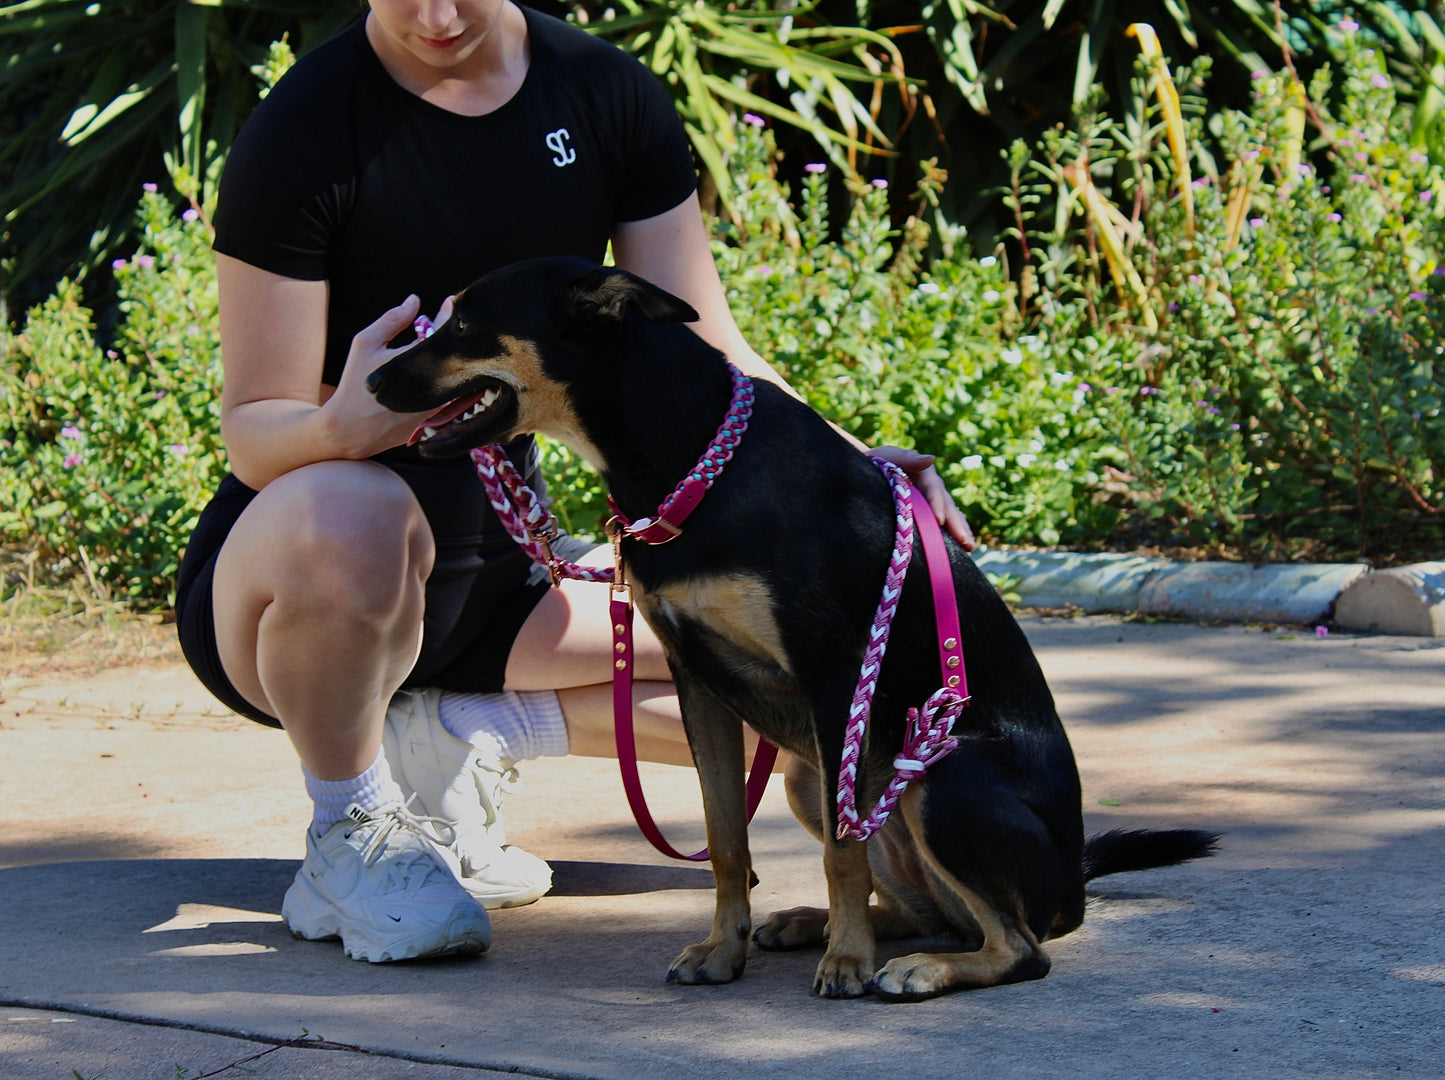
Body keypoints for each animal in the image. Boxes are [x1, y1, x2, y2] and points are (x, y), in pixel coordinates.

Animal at [367, 257, 1213, 1000]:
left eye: (464, 323)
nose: (369, 380)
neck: (694, 458)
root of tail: (1072, 881)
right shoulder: (698, 680)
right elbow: (726, 838)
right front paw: (724, 949)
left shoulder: (835, 678)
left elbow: (843, 852)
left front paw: (845, 965)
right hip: (809, 777)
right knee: (925, 909)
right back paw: (820, 926)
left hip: (939, 778)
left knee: (1016, 945)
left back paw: (907, 967)